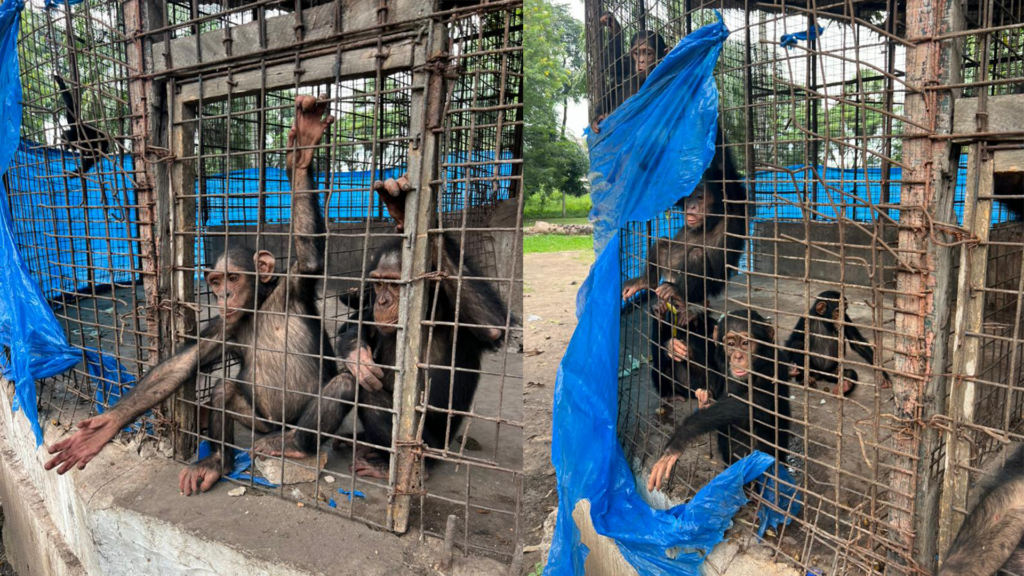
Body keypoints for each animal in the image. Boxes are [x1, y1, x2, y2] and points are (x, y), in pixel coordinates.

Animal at [44, 94, 344, 494]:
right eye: (214, 282)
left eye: (233, 278)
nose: (223, 296)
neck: (259, 307)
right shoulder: (222, 328)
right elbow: (181, 365)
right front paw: (104, 427)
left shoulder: (294, 285)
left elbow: (309, 256)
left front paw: (303, 151)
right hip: (260, 422)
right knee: (223, 392)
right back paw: (216, 461)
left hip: (295, 430)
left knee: (344, 385)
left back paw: (292, 445)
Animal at [325, 174, 509, 475]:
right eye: (379, 284)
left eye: (395, 284)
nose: (383, 301)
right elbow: (351, 325)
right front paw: (358, 356)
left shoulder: (454, 319)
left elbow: (491, 326)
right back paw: (363, 444)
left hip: (428, 445)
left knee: (370, 396)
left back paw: (390, 464)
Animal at [647, 307, 790, 491]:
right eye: (731, 344)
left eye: (746, 343)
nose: (738, 357)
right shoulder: (720, 365)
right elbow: (710, 383)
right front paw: (675, 348)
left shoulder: (772, 368)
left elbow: (754, 403)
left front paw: (679, 438)